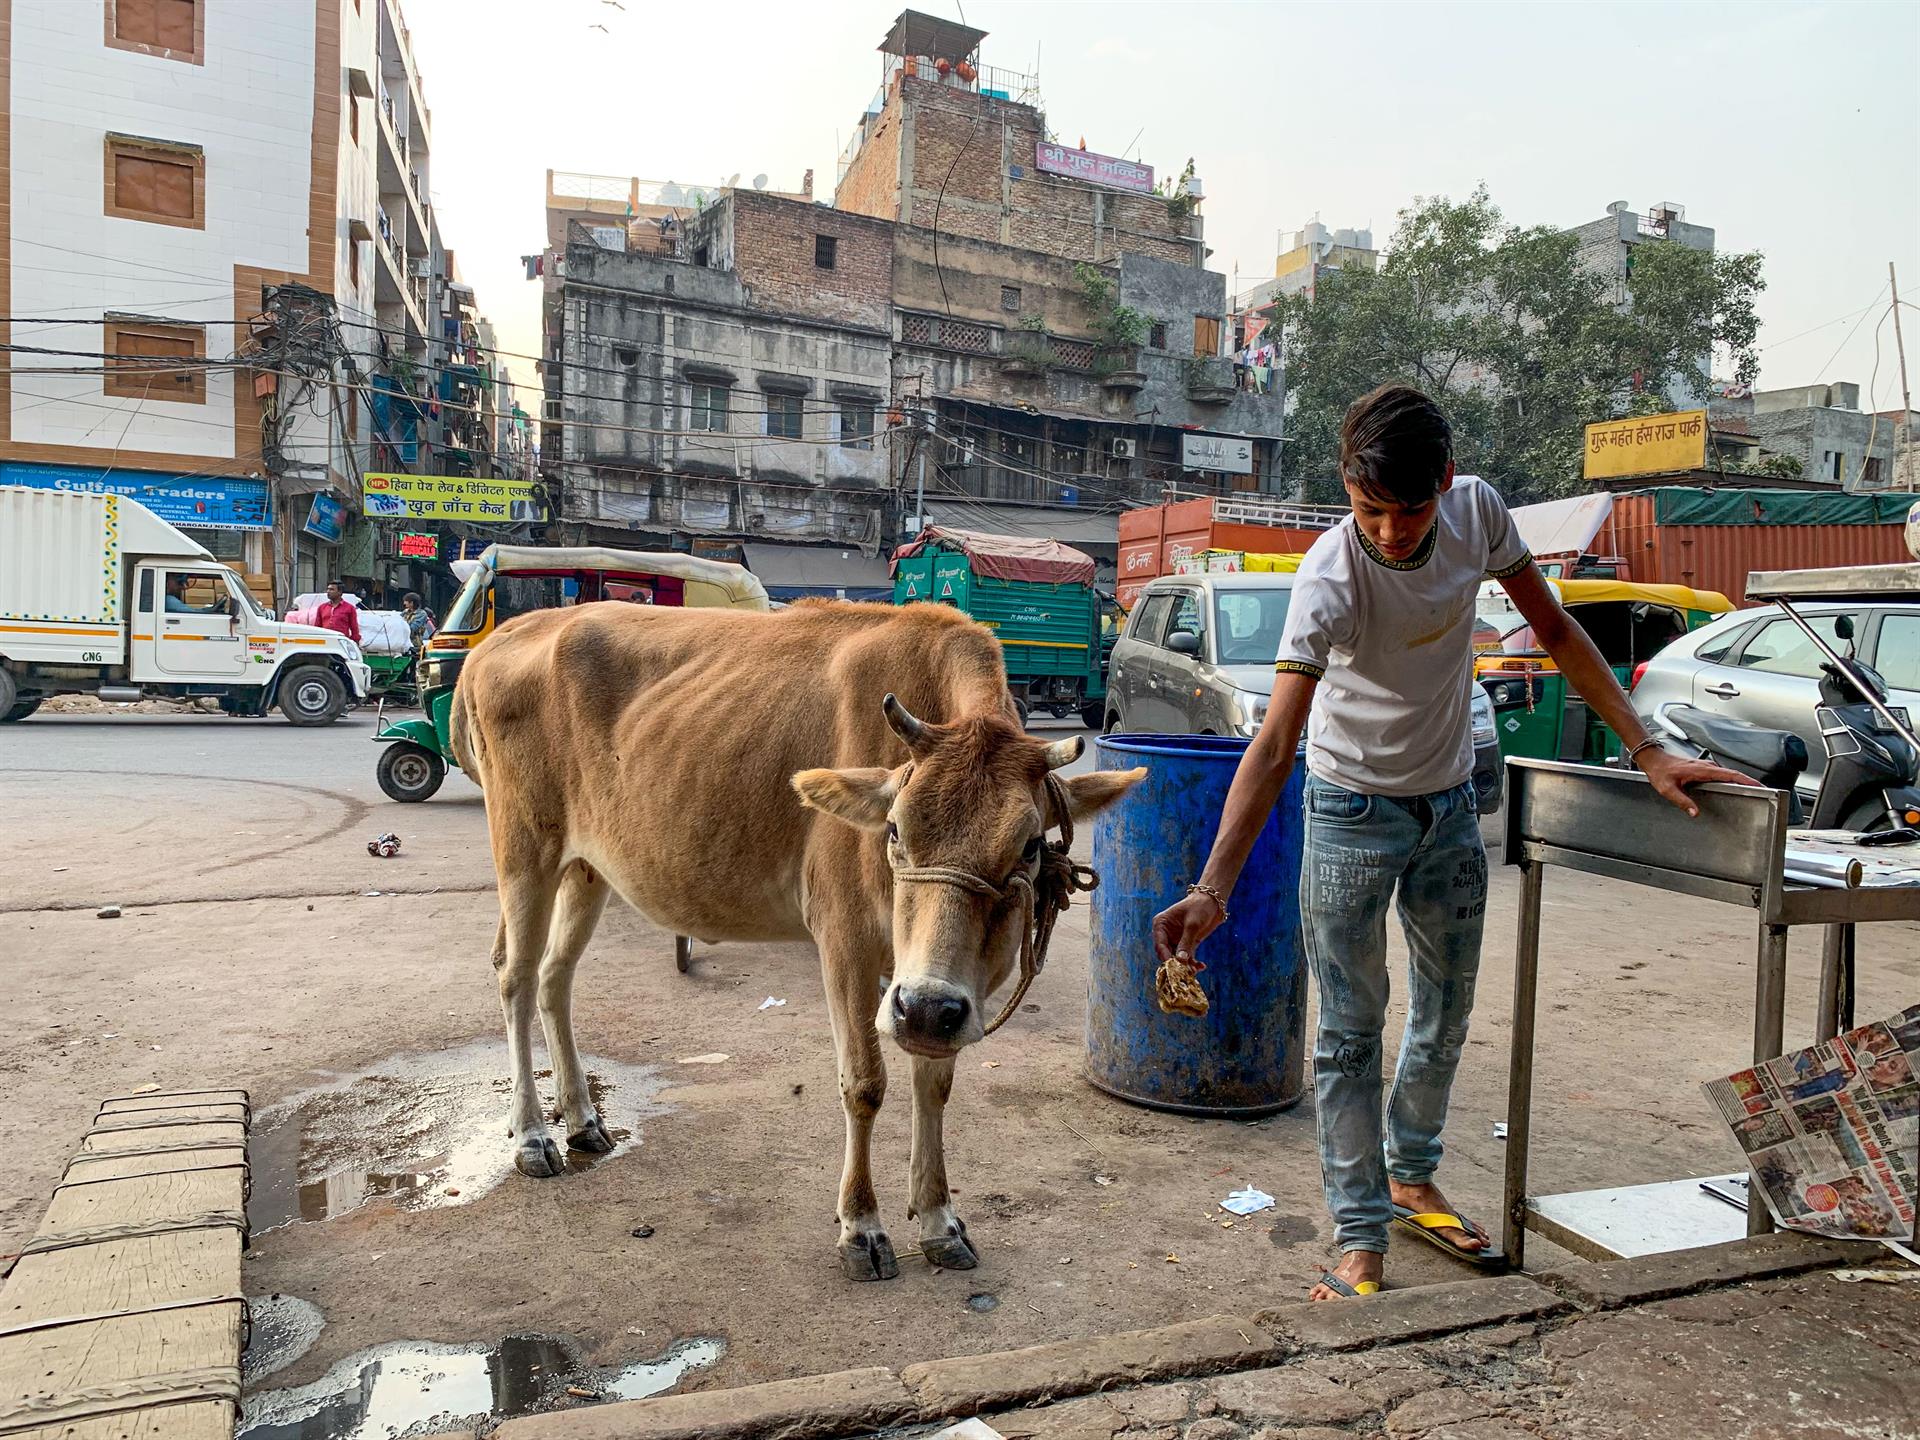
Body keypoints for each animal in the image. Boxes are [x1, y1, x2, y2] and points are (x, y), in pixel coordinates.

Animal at [449, 602, 1136, 1282]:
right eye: (894, 830)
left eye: (1028, 845)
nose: (924, 1007)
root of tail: (503, 638)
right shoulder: (845, 940)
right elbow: (864, 1083)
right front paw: (861, 1227)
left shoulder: (953, 989)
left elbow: (935, 1083)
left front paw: (939, 1221)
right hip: (524, 849)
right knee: (515, 975)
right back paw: (533, 1136)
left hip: (587, 868)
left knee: (555, 977)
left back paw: (583, 1120)